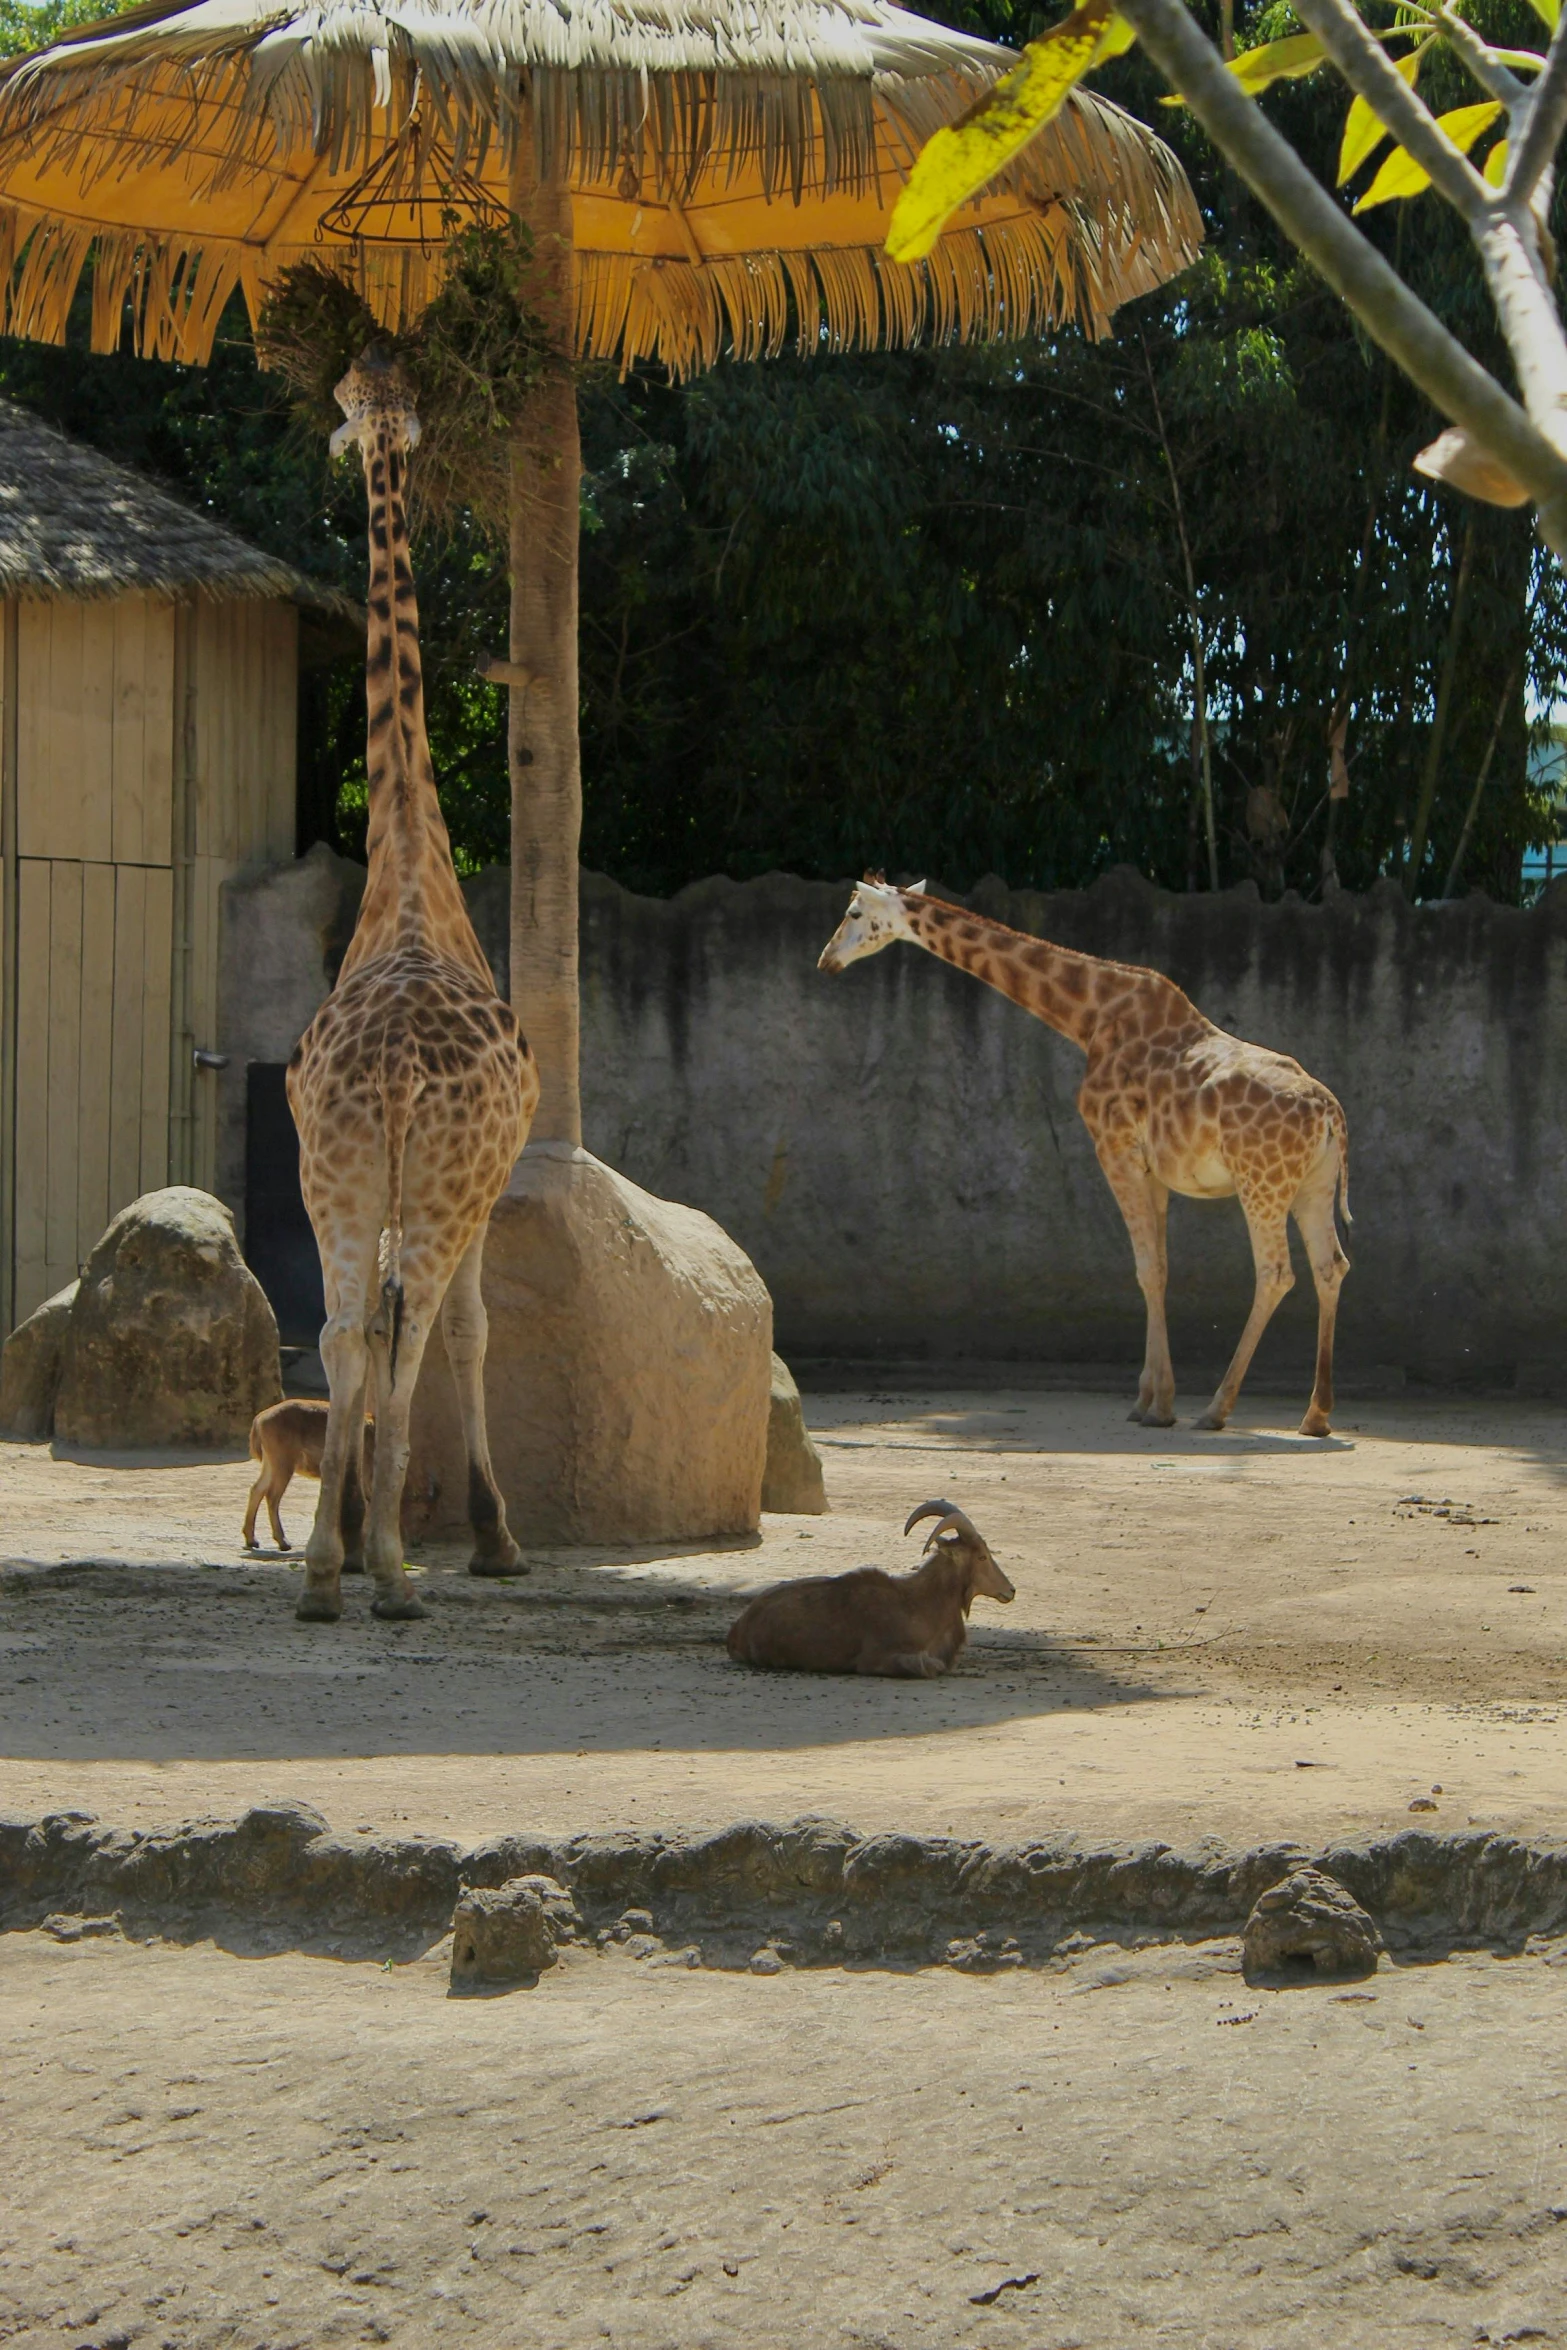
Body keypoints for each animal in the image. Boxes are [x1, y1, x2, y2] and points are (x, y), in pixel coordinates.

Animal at [245, 1391, 380, 1560]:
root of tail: (259, 1420)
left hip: (271, 1461)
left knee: (257, 1489)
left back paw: (252, 1540)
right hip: (283, 1459)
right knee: (272, 1495)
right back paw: (283, 1542)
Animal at [728, 1494, 1019, 1682]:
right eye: (981, 1556)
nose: (1010, 1590)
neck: (920, 1605)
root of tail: (738, 1630)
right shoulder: (877, 1658)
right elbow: (930, 1665)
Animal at [822, 878, 1353, 1428]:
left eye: (854, 912)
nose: (826, 961)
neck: (1088, 1017)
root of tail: (1330, 1114)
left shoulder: (1114, 1149)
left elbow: (1146, 1270)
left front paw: (1159, 1406)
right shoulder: (1152, 1169)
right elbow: (1159, 1269)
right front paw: (1148, 1401)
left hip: (1260, 1183)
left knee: (1275, 1273)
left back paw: (1216, 1408)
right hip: (1311, 1186)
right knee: (1330, 1266)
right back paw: (1316, 1414)